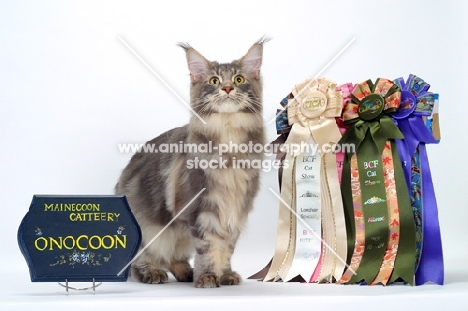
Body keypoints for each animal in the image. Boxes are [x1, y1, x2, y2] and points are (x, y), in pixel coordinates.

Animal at [114, 39, 266, 290]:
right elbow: (208, 248)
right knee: (141, 261)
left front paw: (225, 274)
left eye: (238, 79)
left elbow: (226, 248)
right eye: (214, 81)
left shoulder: (235, 210)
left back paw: (186, 272)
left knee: (174, 257)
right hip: (148, 230)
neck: (229, 138)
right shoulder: (202, 208)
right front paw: (207, 277)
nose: (227, 88)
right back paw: (153, 273)